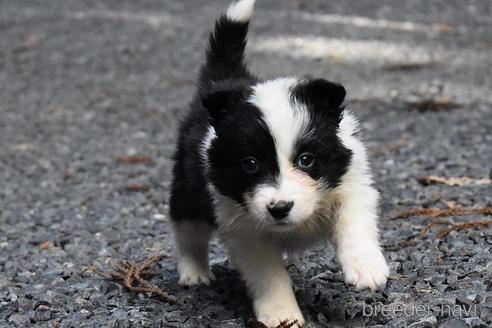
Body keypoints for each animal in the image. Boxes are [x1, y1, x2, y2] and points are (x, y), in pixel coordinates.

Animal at [171, 0, 390, 326]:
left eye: (306, 160)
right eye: (250, 164)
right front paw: (281, 314)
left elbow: (354, 220)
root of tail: (224, 81)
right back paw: (194, 272)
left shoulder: (351, 182)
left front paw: (366, 267)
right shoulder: (244, 228)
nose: (279, 208)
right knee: (189, 231)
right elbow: (268, 274)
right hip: (189, 189)